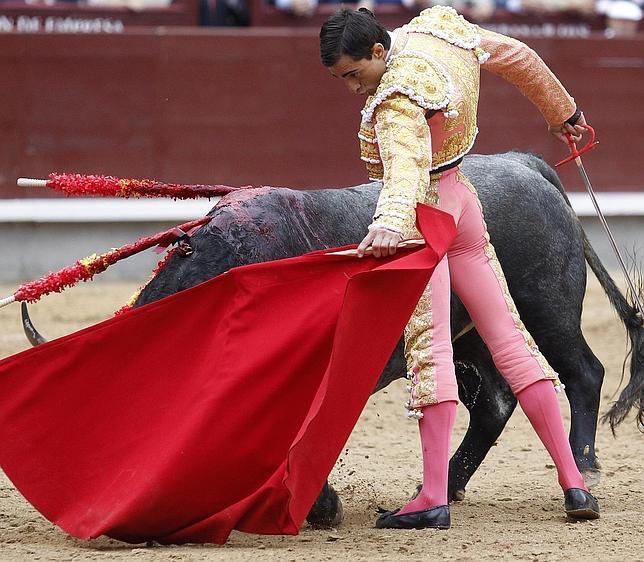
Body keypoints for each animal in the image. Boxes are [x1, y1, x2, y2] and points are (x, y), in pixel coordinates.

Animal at [137, 152, 644, 524]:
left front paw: (322, 507)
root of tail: (524, 164)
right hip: (469, 336)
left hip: (544, 308)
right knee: (495, 402)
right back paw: (445, 485)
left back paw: (582, 469)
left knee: (582, 372)